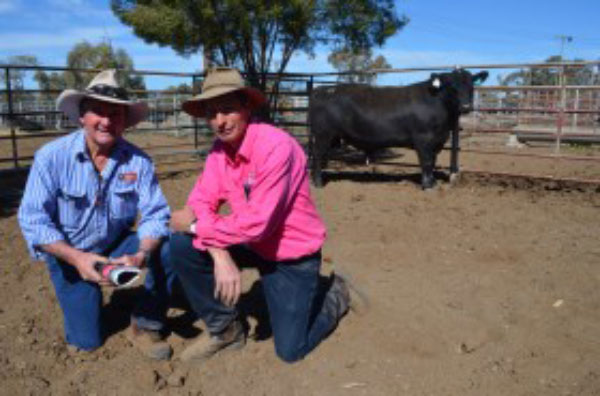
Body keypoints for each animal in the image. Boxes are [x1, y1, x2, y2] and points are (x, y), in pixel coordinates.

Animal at [310, 69, 488, 189]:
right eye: (451, 86)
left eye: (471, 86)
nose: (466, 106)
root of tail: (321, 90)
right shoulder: (423, 139)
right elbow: (426, 162)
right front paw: (427, 185)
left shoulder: (437, 141)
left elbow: (433, 162)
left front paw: (433, 182)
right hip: (323, 134)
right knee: (317, 156)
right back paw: (318, 183)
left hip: (331, 137)